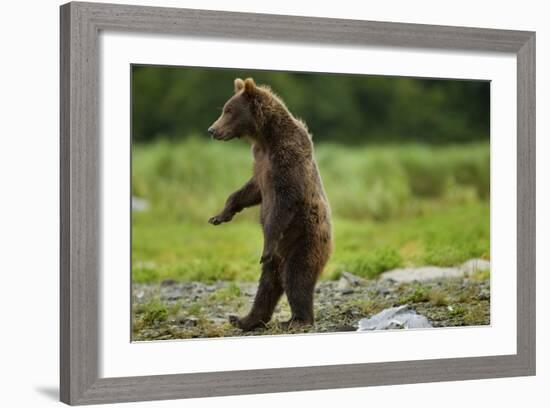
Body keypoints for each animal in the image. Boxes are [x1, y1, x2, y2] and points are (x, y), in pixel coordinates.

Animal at [209, 79, 334, 332]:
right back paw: (244, 319)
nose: (212, 130)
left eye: (229, 111)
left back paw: (296, 320)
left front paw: (266, 243)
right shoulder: (260, 163)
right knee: (267, 284)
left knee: (296, 277)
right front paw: (220, 215)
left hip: (305, 240)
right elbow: (250, 190)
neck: (265, 137)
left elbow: (284, 203)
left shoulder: (287, 159)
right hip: (278, 260)